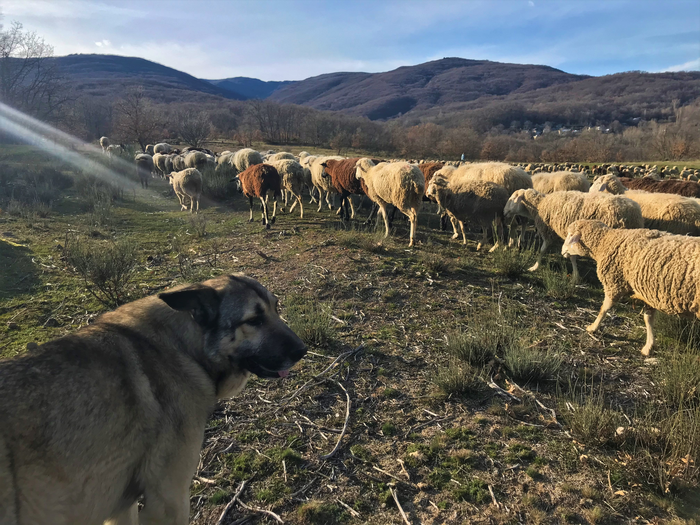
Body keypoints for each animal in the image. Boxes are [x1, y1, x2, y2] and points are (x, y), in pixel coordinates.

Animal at [0, 274, 306, 524]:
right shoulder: (168, 500)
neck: (184, 348)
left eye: (276, 308)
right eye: (253, 320)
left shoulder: (123, 506)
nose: (303, 350)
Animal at [504, 186, 644, 280]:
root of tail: (634, 213)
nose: (504, 212)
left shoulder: (550, 232)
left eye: (513, 198)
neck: (539, 204)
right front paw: (576, 276)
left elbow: (543, 250)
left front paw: (535, 266)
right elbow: (571, 256)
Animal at [560, 219, 700, 354]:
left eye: (570, 235)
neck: (605, 242)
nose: (562, 251)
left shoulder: (614, 283)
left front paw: (593, 328)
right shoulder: (648, 292)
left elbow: (603, 309)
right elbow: (648, 319)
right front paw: (648, 347)